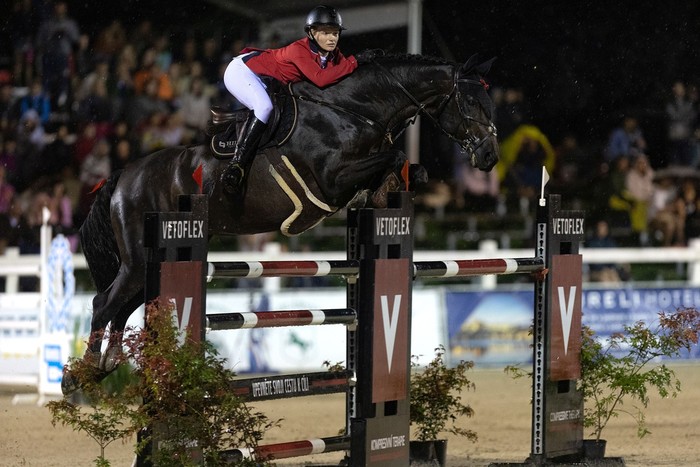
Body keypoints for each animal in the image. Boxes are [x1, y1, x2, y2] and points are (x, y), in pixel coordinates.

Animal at [66, 53, 499, 390]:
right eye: (470, 102)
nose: (490, 156)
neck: (355, 111)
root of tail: (124, 174)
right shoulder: (331, 179)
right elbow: (394, 157)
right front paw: (380, 187)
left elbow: (407, 168)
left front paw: (383, 191)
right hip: (140, 258)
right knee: (105, 303)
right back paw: (79, 377)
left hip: (146, 265)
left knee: (123, 306)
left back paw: (109, 364)